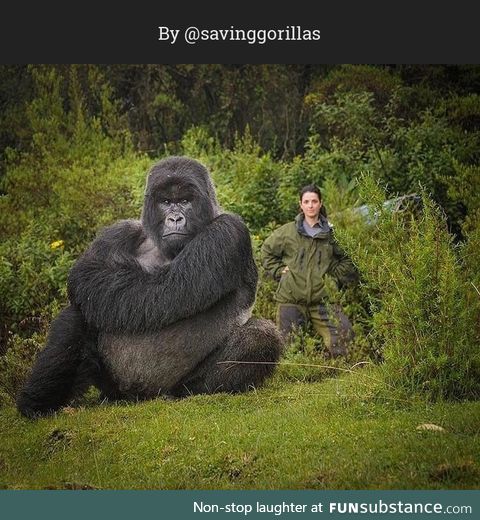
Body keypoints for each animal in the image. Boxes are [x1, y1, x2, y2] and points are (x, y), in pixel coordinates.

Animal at [16, 157, 284, 418]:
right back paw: (39, 402)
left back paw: (188, 391)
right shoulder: (120, 230)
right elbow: (87, 273)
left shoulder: (228, 231)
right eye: (166, 202)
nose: (174, 218)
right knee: (79, 314)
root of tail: (138, 396)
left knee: (260, 335)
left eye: (185, 201)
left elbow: (167, 289)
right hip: (112, 385)